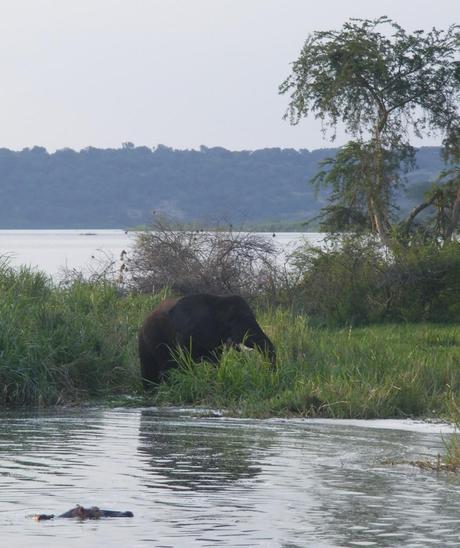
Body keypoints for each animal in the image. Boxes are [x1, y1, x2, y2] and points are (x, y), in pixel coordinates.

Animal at [138, 294, 274, 388]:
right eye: (233, 323)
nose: (269, 373)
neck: (218, 304)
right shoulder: (185, 334)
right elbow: (185, 361)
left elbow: (216, 361)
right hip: (145, 341)